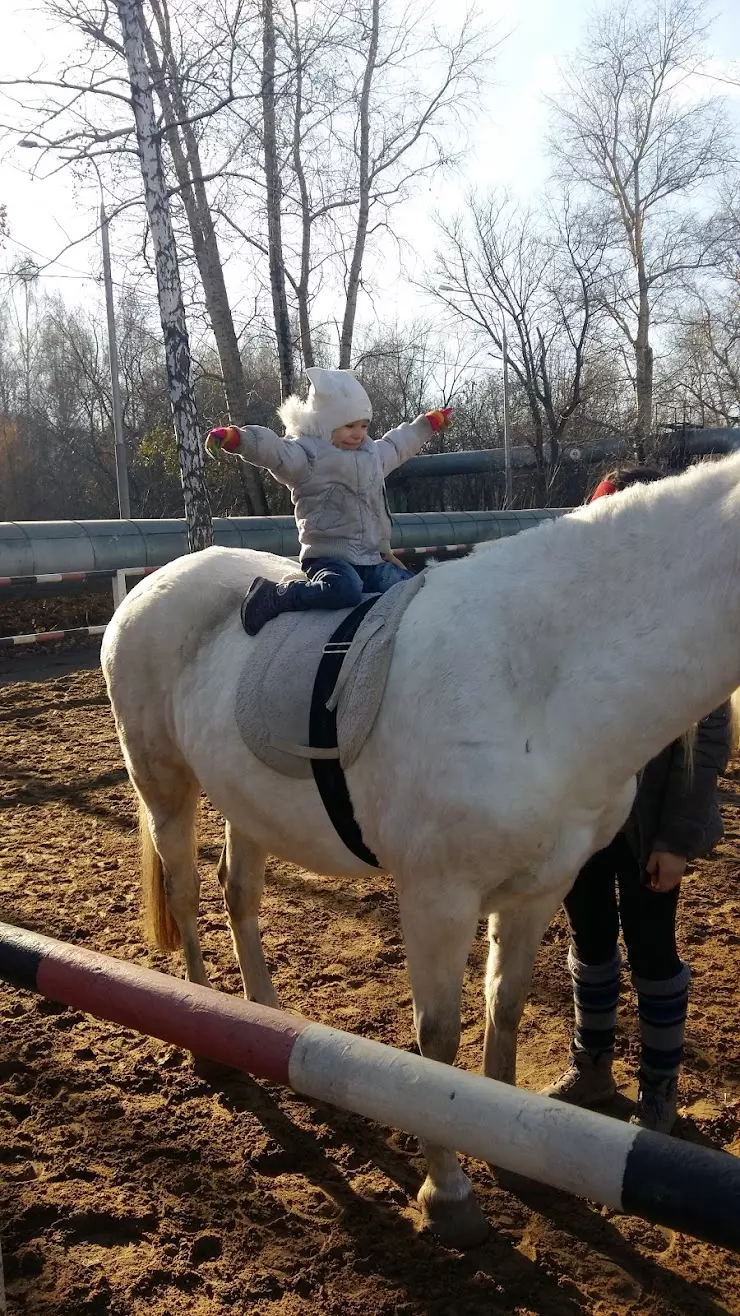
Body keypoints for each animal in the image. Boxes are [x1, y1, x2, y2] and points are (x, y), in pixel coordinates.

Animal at [99, 457, 737, 1247]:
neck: (538, 678)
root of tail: (157, 582)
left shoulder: (540, 889)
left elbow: (506, 1008)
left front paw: (509, 1154)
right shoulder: (438, 897)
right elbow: (437, 1041)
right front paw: (449, 1196)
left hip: (244, 801)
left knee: (237, 894)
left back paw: (263, 1014)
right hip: (164, 786)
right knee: (187, 895)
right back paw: (205, 1035)